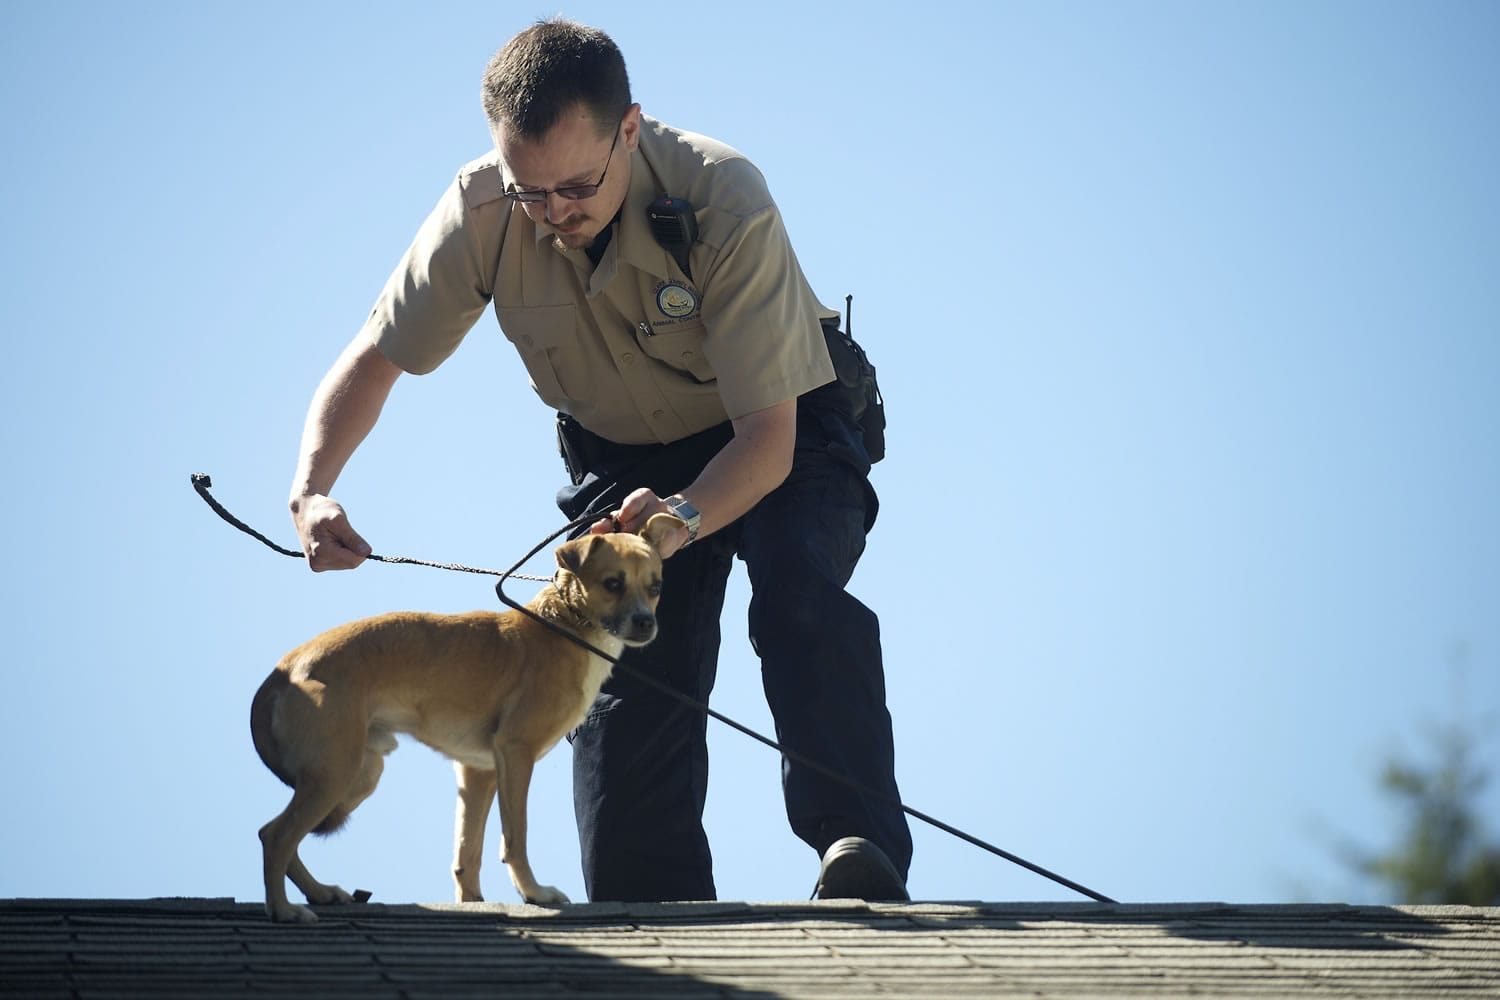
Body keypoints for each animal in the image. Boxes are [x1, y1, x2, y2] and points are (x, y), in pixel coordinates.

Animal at [253, 515, 681, 923]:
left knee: (283, 836)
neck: (566, 625)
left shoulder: (479, 770)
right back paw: (284, 910)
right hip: (337, 772)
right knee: (275, 835)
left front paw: (473, 902)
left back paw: (320, 892)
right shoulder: (515, 752)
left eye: (656, 586)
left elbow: (467, 851)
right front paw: (534, 893)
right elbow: (515, 837)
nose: (646, 623)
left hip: (358, 773)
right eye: (613, 583)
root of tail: (282, 672)